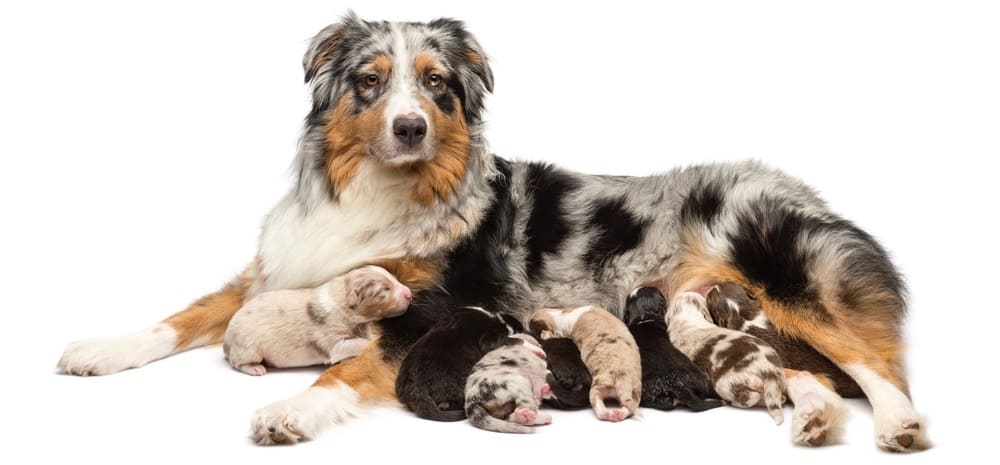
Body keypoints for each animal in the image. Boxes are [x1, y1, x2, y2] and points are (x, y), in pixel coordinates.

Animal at [226, 262, 410, 376]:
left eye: (394, 279)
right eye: (385, 289)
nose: (409, 293)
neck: (341, 296)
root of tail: (227, 341)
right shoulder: (333, 338)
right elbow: (352, 345)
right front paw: (378, 339)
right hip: (248, 347)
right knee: (236, 362)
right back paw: (255, 368)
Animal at [394, 304, 532, 420]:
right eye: (521, 329)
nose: (529, 330)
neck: (499, 321)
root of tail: (417, 390)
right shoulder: (490, 339)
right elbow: (512, 340)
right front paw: (527, 343)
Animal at [664, 294, 788, 424]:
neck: (688, 316)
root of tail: (770, 372)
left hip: (724, 385)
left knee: (752, 397)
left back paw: (734, 403)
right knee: (780, 398)